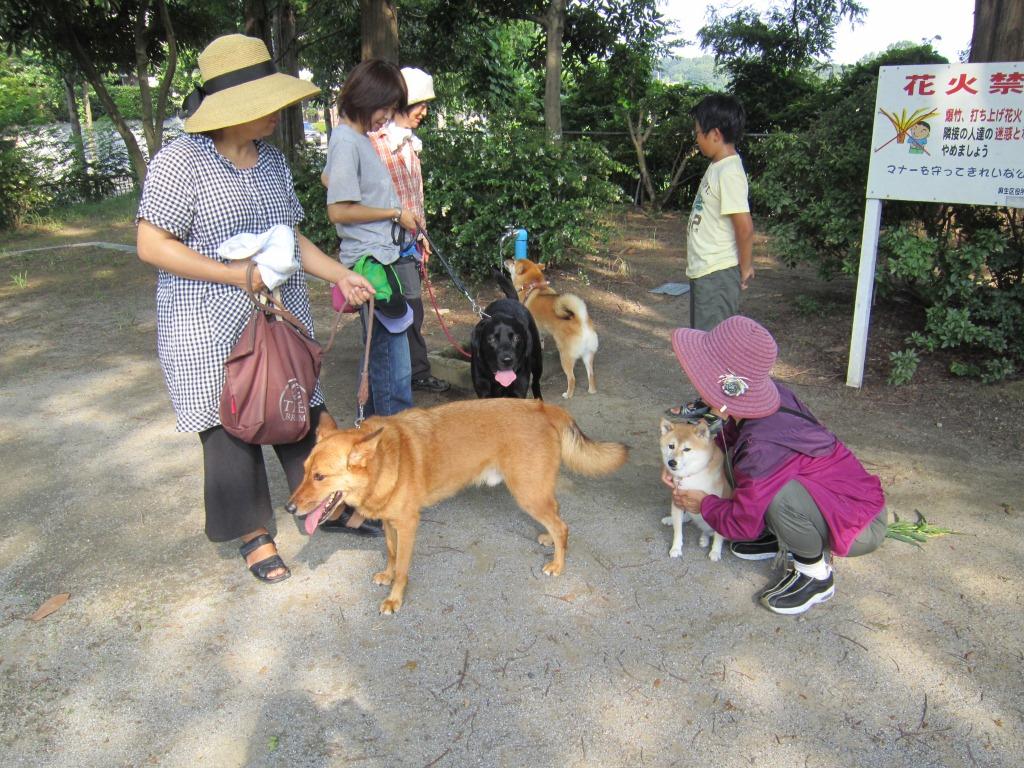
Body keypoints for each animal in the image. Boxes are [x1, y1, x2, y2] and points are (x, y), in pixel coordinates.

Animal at [289, 399, 628, 614]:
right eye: (303, 470)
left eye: (320, 477)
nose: (289, 508)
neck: (384, 460)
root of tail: (543, 406)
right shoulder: (389, 523)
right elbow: (391, 553)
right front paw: (386, 573)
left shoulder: (408, 525)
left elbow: (403, 569)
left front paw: (394, 599)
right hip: (536, 490)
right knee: (556, 516)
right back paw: (549, 539)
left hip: (527, 493)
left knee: (561, 525)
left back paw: (558, 563)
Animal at [505, 258, 598, 399]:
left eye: (514, 261)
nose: (506, 260)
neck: (533, 286)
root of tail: (581, 320)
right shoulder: (540, 330)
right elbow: (541, 340)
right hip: (588, 355)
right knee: (591, 375)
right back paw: (591, 390)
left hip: (565, 357)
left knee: (572, 378)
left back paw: (568, 394)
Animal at [659, 417, 731, 560]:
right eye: (671, 446)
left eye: (687, 449)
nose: (671, 462)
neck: (692, 475)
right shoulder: (677, 499)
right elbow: (678, 530)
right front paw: (676, 548)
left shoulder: (721, 507)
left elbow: (719, 535)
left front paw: (716, 551)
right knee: (688, 518)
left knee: (710, 531)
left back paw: (705, 539)